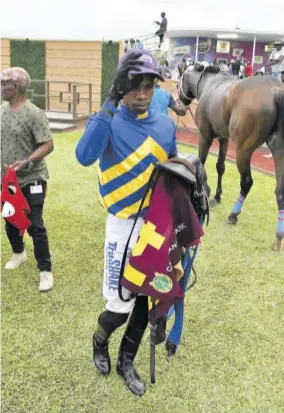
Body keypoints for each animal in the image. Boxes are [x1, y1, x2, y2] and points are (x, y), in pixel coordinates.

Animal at [179, 66, 282, 249]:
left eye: (180, 81)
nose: (180, 105)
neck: (209, 84)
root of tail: (276, 89)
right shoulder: (223, 139)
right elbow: (220, 166)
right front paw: (217, 196)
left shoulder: (205, 137)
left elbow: (200, 163)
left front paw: (205, 192)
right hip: (278, 150)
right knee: (280, 191)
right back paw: (278, 237)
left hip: (243, 150)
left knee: (246, 182)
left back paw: (233, 214)